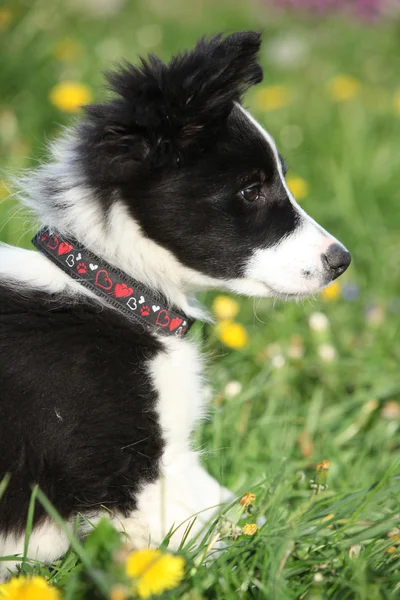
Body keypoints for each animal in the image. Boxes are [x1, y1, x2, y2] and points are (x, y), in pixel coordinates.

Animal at [0, 30, 350, 576]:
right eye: (252, 189)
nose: (342, 261)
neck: (115, 287)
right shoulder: (126, 473)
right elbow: (213, 544)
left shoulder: (172, 458)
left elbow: (238, 509)